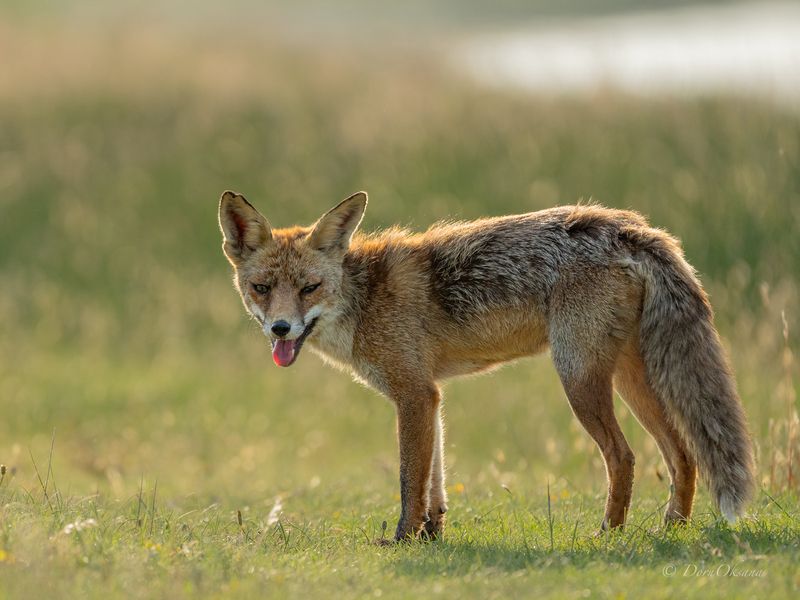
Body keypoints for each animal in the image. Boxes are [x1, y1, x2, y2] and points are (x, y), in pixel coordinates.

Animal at [218, 189, 756, 541]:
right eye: (261, 288)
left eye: (309, 288)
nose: (281, 329)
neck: (364, 298)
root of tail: (629, 226)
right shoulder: (431, 395)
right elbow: (434, 481)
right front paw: (432, 536)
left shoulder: (414, 394)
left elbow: (409, 481)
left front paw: (403, 540)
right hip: (628, 378)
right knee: (682, 452)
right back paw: (671, 531)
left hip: (578, 378)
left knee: (623, 457)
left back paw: (609, 534)